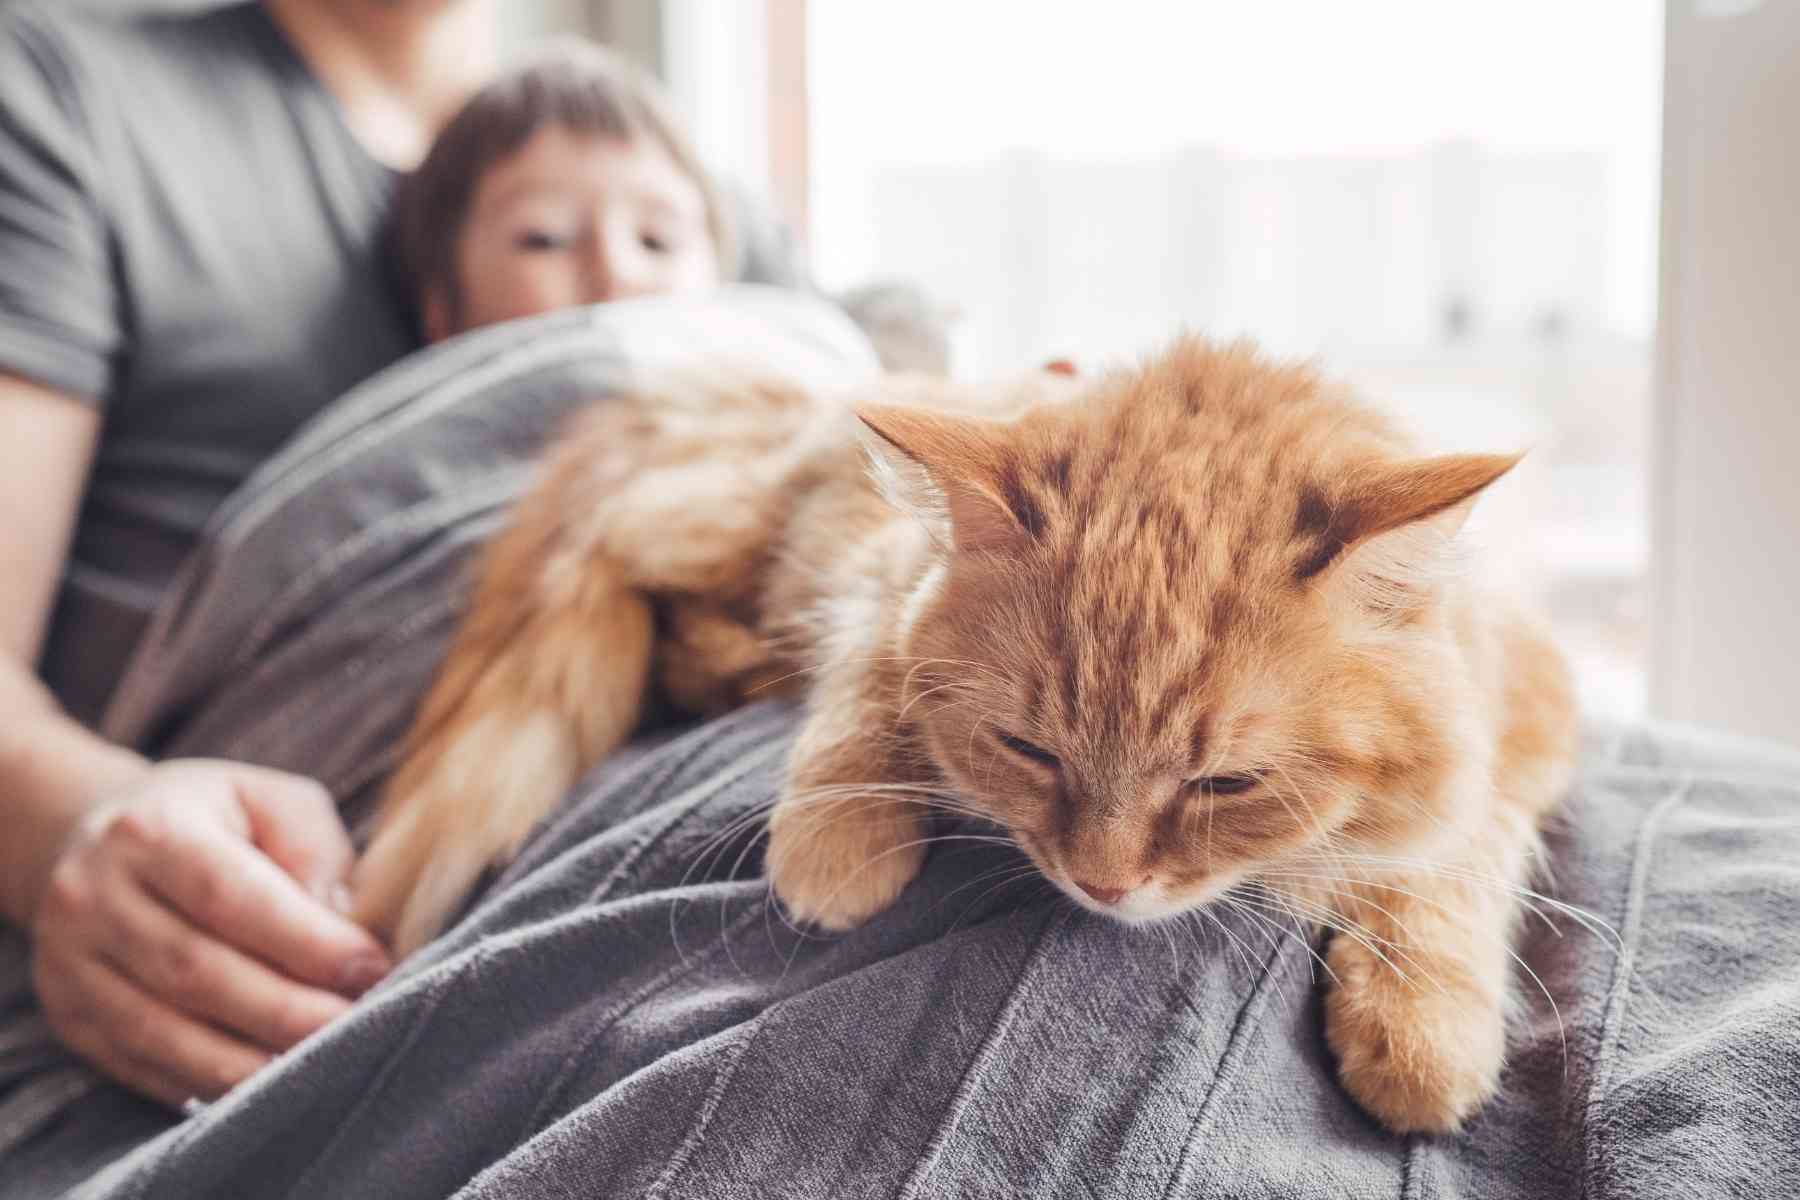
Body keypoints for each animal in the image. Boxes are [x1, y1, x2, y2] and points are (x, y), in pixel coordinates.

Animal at [351, 338, 1576, 1137]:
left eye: (1225, 782)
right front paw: (838, 848)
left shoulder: (1530, 717)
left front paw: (1424, 1026)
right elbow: (867, 694)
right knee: (615, 559)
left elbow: (1453, 866)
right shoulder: (879, 574)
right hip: (721, 530)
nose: (1103, 884)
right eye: (1030, 751)